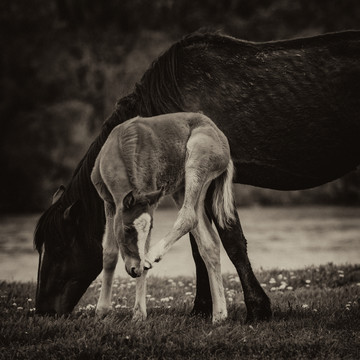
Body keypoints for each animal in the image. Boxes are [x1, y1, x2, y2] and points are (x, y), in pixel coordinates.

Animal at [34, 31, 360, 322]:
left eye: (60, 247)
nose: (43, 310)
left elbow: (230, 240)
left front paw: (257, 309)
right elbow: (199, 246)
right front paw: (204, 308)